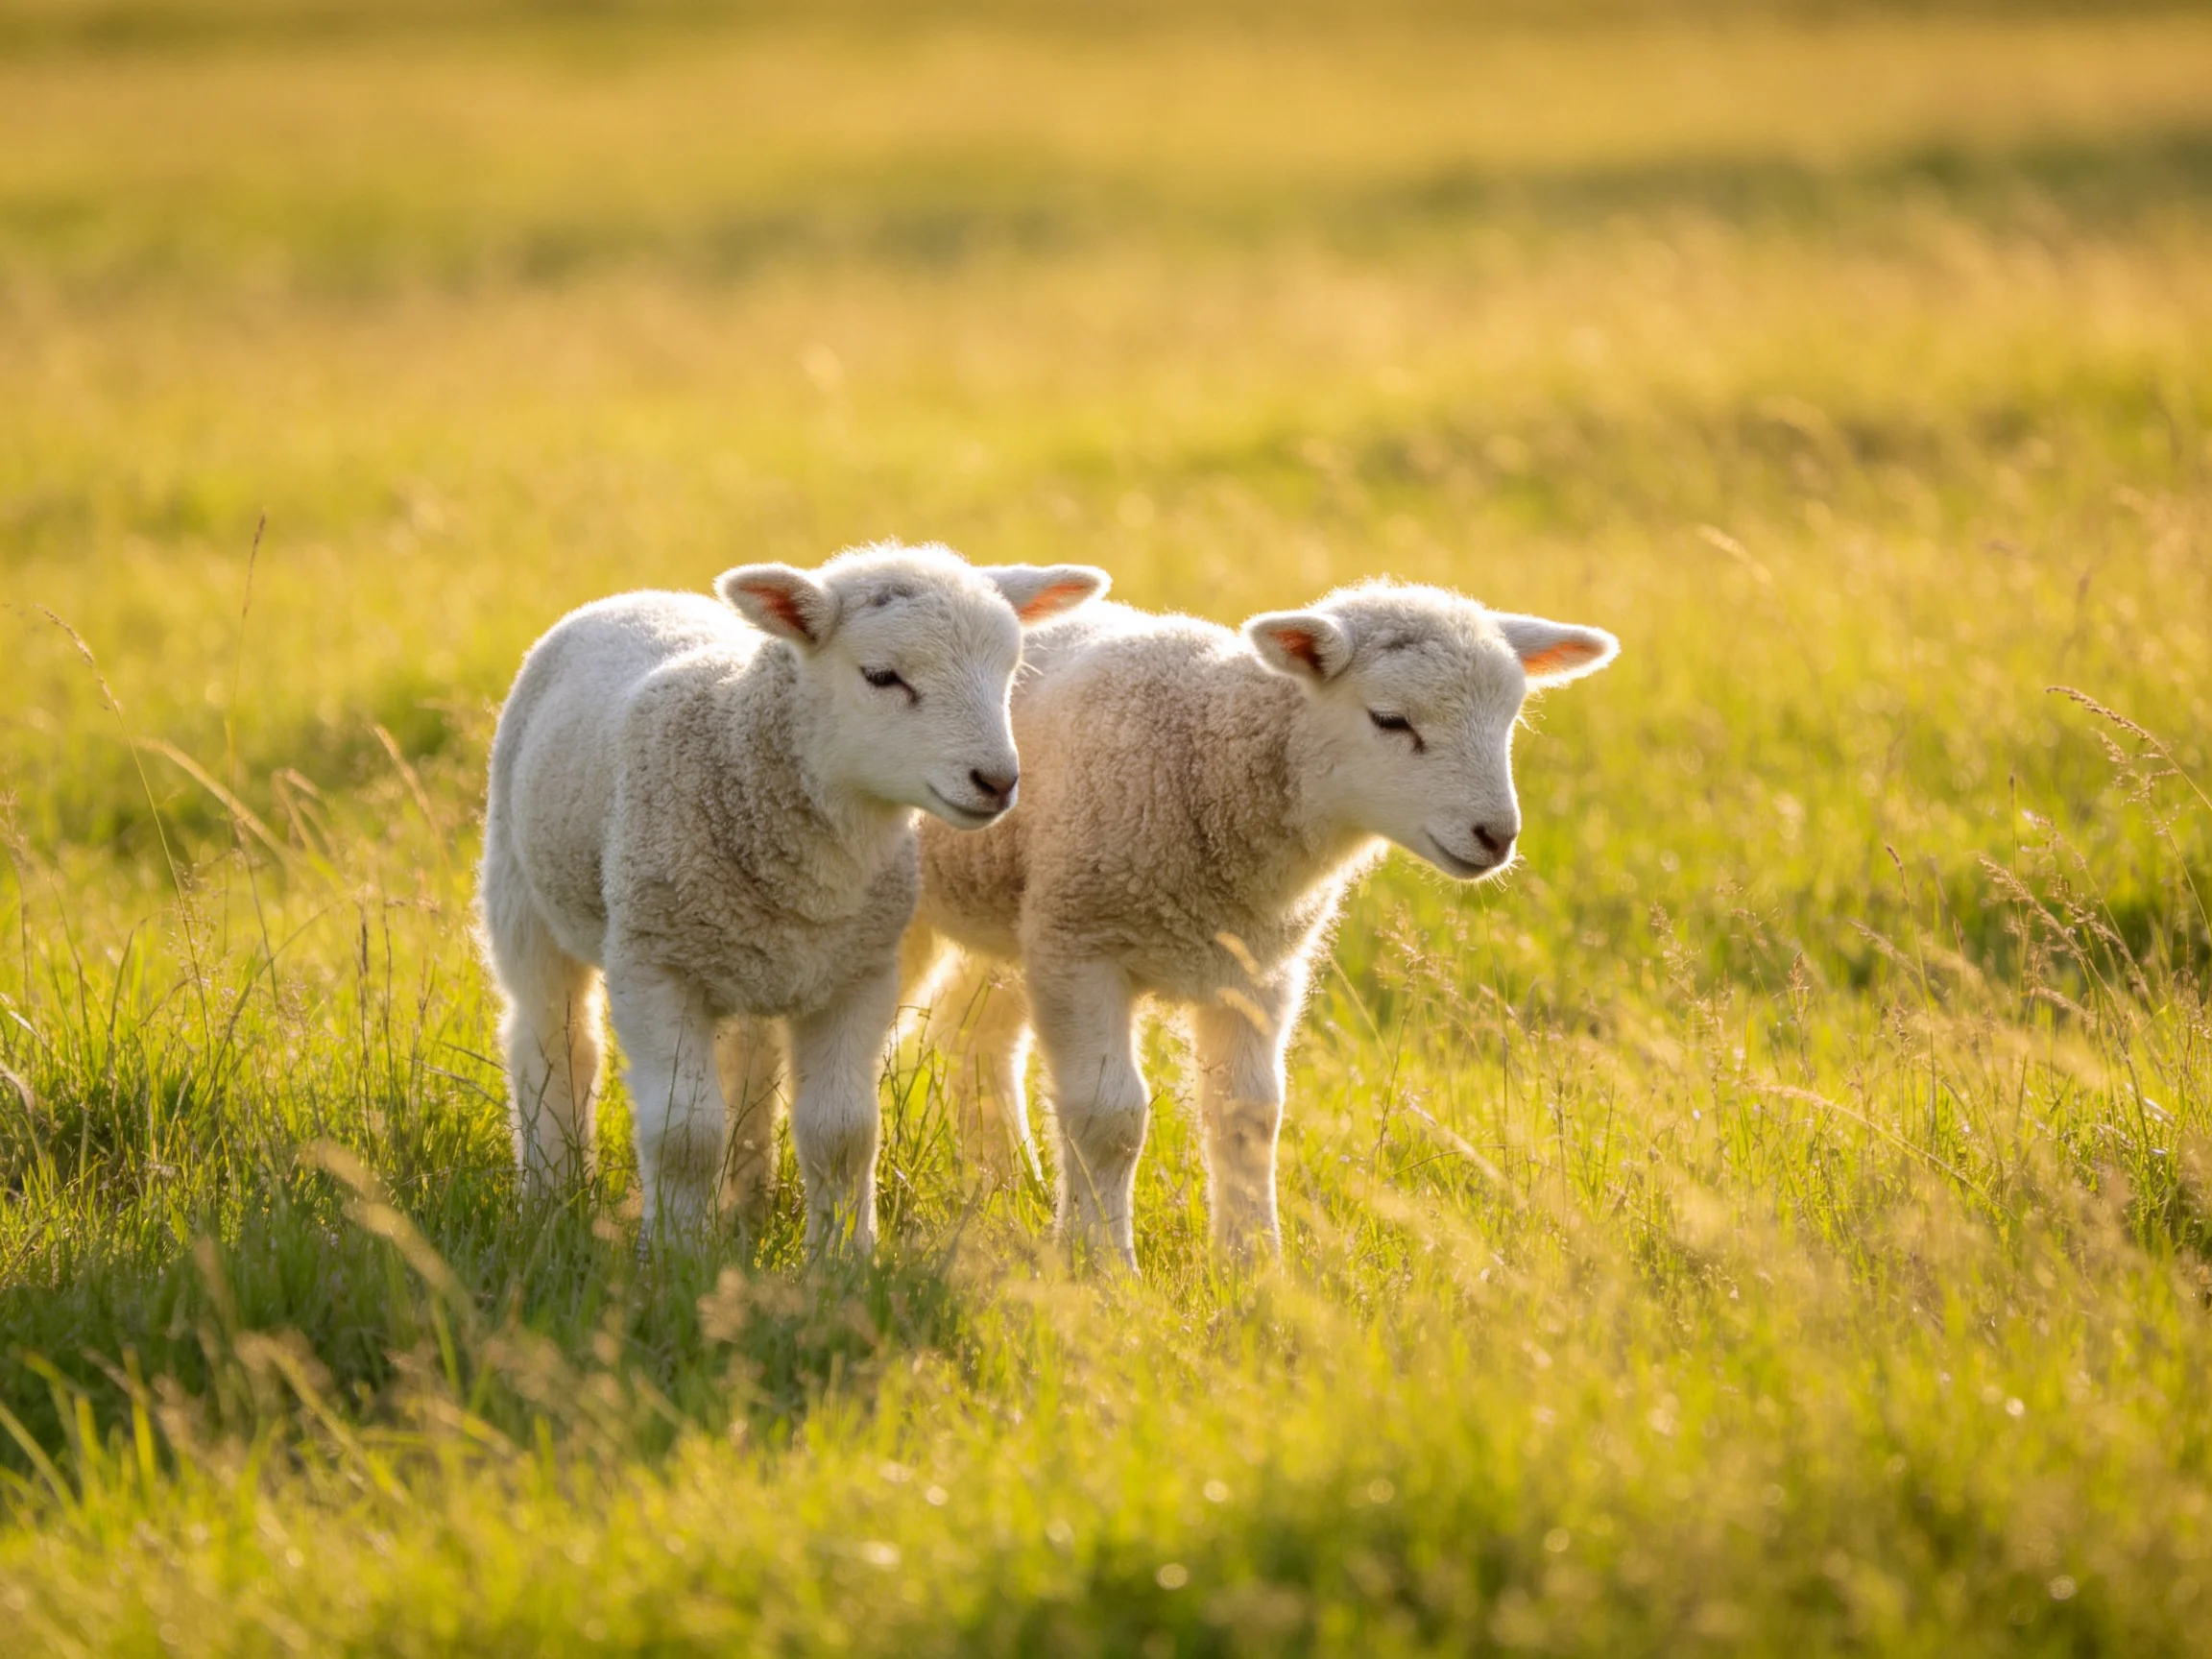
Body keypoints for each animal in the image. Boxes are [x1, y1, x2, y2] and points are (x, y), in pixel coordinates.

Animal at [477, 542, 1108, 1251]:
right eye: (882, 676)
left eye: (1010, 672)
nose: (997, 782)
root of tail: (636, 596)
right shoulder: (652, 965)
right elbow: (683, 1133)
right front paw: (674, 1254)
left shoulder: (858, 975)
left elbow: (842, 1132)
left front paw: (843, 1255)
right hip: (521, 892)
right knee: (554, 1046)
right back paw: (550, 1193)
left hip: (755, 963)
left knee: (748, 1062)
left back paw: (743, 1201)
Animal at [905, 581, 1617, 1268]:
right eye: (1391, 720)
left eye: (1510, 720)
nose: (1496, 836)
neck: (1208, 755)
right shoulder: (1081, 944)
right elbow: (1108, 1117)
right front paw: (1101, 1266)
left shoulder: (1257, 968)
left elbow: (1249, 1116)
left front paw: (1252, 1266)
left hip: (1008, 909)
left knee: (970, 1036)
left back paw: (1006, 1181)